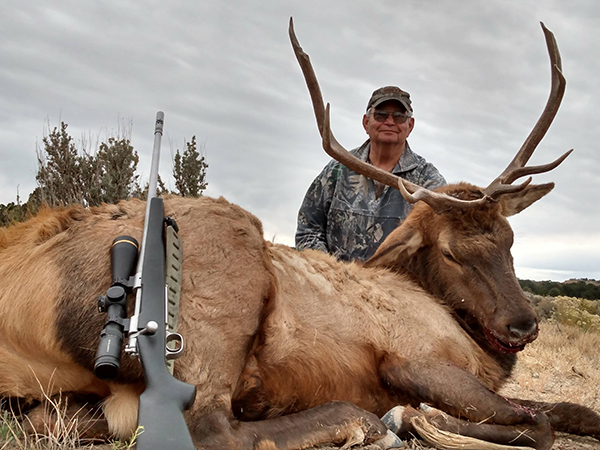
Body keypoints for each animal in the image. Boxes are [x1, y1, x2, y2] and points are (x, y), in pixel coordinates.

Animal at [1, 17, 600, 450]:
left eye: (510, 238)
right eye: (452, 253)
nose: (522, 325)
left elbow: (575, 409)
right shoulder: (416, 357)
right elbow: (537, 423)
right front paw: (415, 419)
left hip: (63, 397)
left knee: (50, 422)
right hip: (225, 288)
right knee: (212, 427)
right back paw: (366, 422)